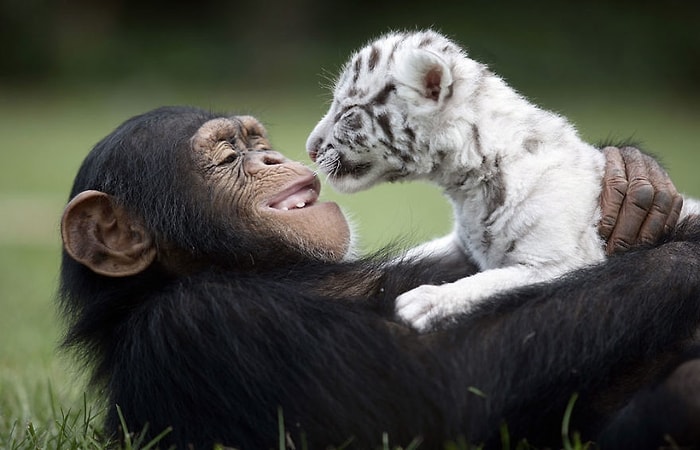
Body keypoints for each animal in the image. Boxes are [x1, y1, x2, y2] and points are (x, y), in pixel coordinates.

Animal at [57, 104, 700, 446]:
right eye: (226, 157)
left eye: (254, 140)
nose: (271, 158)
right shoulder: (204, 325)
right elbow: (443, 398)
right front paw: (684, 256)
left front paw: (632, 181)